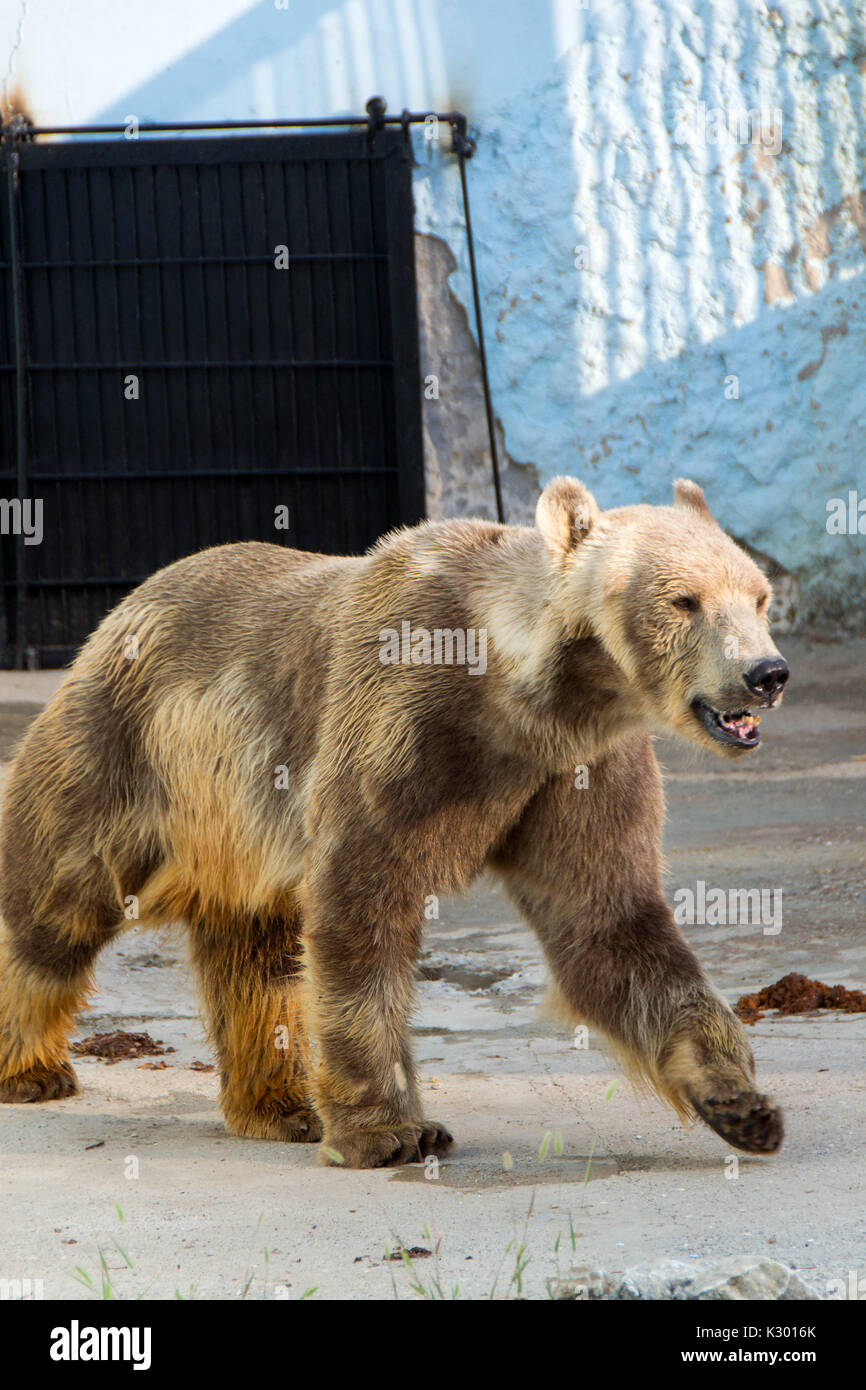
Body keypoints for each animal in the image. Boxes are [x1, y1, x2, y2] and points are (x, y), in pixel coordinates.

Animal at [0, 475, 789, 1162]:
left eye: (758, 595)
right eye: (685, 600)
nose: (767, 674)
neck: (527, 700)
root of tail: (127, 604)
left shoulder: (574, 771)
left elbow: (609, 920)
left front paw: (741, 1101)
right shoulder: (403, 725)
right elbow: (363, 905)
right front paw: (392, 1130)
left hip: (236, 831)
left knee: (257, 962)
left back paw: (280, 1105)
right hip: (124, 754)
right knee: (55, 902)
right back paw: (32, 1068)